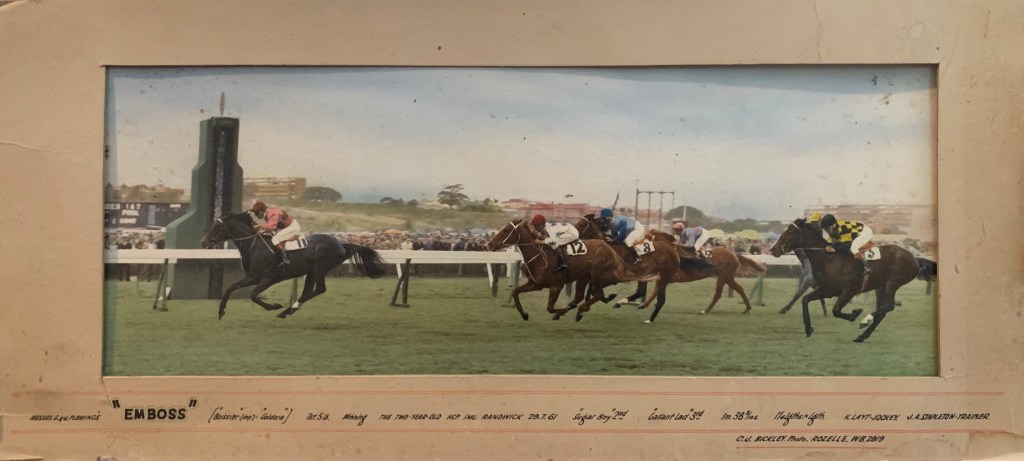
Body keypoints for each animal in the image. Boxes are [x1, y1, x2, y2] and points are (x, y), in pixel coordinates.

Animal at [200, 212, 388, 319]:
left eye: (216, 227)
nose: (203, 242)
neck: (255, 246)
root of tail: (342, 244)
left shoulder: (268, 278)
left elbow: (253, 295)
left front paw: (274, 306)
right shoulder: (252, 277)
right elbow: (230, 288)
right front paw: (221, 312)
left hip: (319, 269)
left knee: (320, 289)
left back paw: (286, 310)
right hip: (311, 272)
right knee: (308, 291)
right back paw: (288, 311)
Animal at [485, 219, 626, 322]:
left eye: (506, 230)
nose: (489, 244)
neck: (539, 256)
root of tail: (609, 248)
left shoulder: (556, 285)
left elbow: (550, 308)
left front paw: (561, 312)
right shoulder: (536, 284)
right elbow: (515, 292)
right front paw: (524, 314)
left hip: (597, 276)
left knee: (598, 294)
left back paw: (580, 310)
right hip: (584, 277)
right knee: (582, 296)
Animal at [769, 218, 919, 342]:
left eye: (789, 232)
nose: (773, 249)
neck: (829, 260)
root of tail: (913, 258)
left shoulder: (849, 290)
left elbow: (836, 311)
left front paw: (855, 314)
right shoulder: (826, 289)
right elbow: (805, 300)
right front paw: (808, 328)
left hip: (892, 283)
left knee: (888, 306)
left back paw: (865, 320)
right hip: (880, 287)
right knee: (883, 310)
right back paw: (862, 336)